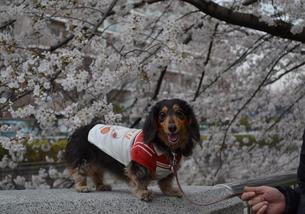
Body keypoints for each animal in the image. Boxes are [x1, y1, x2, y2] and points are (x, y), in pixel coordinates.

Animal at [64, 98, 200, 201]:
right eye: (162, 115)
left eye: (179, 113)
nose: (172, 127)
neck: (163, 146)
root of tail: (78, 130)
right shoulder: (138, 165)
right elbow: (139, 180)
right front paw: (143, 193)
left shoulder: (170, 169)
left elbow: (166, 183)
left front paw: (171, 191)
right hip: (84, 159)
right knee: (79, 172)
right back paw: (82, 187)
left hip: (97, 162)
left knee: (96, 173)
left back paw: (101, 186)